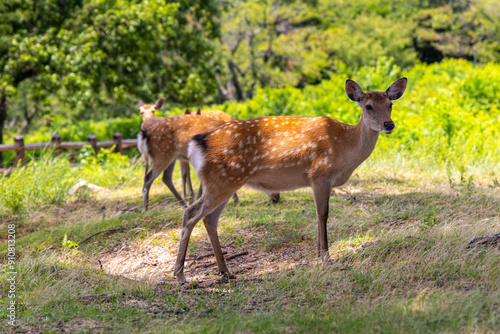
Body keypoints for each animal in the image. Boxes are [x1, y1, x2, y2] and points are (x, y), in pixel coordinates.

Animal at [174, 77, 408, 282]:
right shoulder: (320, 174)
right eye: (368, 106)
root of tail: (197, 144)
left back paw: (226, 271)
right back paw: (181, 275)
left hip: (225, 183)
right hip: (221, 181)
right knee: (190, 214)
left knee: (209, 219)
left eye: (390, 104)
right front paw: (325, 257)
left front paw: (319, 254)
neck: (346, 149)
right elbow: (323, 214)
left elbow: (319, 215)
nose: (389, 124)